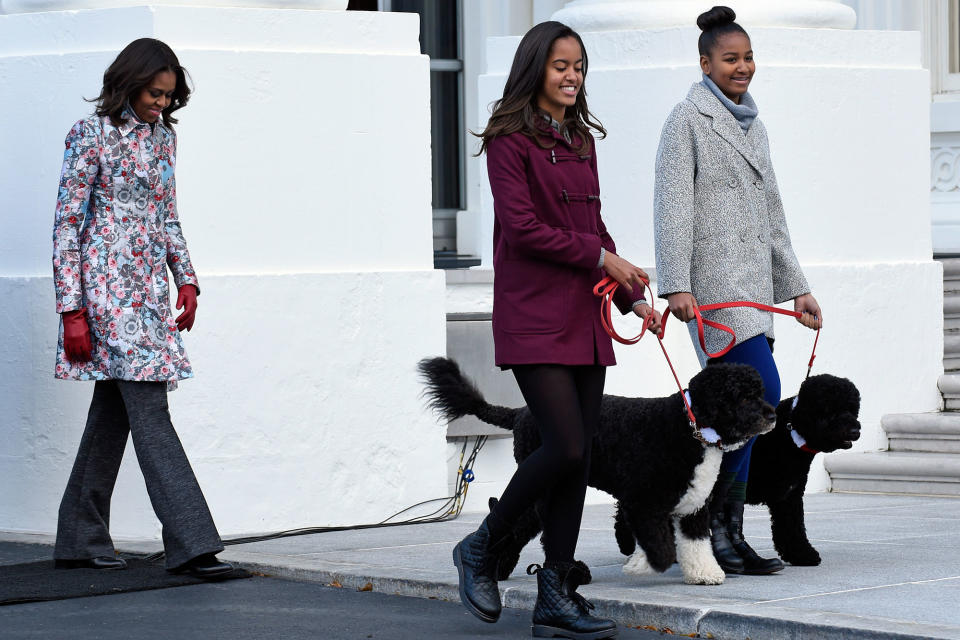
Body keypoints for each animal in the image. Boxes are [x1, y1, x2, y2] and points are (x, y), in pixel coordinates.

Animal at [416, 356, 776, 584]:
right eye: (741, 397)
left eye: (759, 391)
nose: (771, 415)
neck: (688, 428)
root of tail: (520, 413)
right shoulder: (641, 503)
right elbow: (660, 545)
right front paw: (642, 566)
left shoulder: (693, 508)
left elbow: (695, 544)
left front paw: (704, 573)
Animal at [744, 376, 864, 564]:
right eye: (831, 411)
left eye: (852, 409)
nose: (855, 430)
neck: (790, 432)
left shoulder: (790, 495)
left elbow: (793, 526)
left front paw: (802, 554)